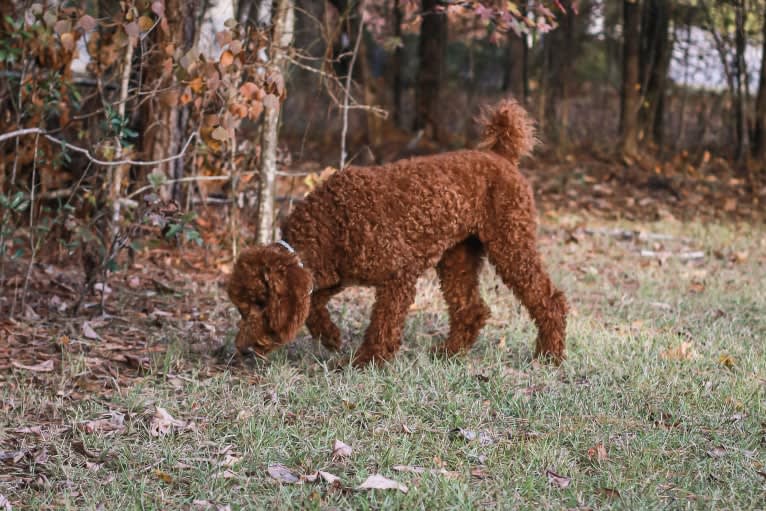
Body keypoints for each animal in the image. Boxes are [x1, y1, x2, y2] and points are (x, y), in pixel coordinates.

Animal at [228, 98, 568, 366]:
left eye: (259, 303)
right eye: (241, 309)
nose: (242, 350)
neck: (328, 225)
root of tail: (500, 155)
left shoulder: (397, 276)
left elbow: (382, 324)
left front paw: (366, 361)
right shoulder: (330, 274)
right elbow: (312, 306)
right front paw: (331, 337)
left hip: (511, 240)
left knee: (549, 299)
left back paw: (549, 355)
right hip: (457, 255)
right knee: (471, 309)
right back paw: (448, 353)